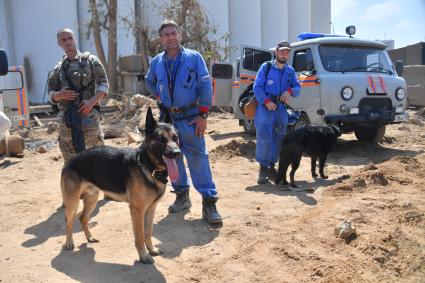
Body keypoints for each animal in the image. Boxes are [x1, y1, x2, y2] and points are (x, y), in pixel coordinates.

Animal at [60, 107, 180, 266]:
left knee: (82, 218)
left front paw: (152, 250)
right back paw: (69, 242)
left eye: (175, 138)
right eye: (161, 139)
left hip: (92, 199)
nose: (177, 153)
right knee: (69, 220)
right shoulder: (137, 210)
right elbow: (140, 236)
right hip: (72, 202)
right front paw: (143, 256)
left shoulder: (151, 209)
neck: (148, 167)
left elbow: (148, 232)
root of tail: (71, 160)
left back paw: (89, 237)